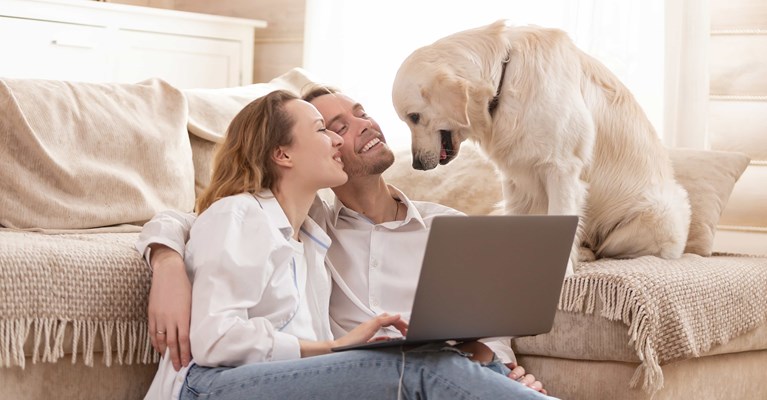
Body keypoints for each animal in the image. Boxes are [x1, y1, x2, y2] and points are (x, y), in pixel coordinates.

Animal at [392, 19, 692, 276]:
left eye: (414, 117)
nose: (416, 164)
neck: (503, 78)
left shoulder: (562, 170)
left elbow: (562, 213)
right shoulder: (514, 178)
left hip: (657, 214)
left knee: (608, 247)